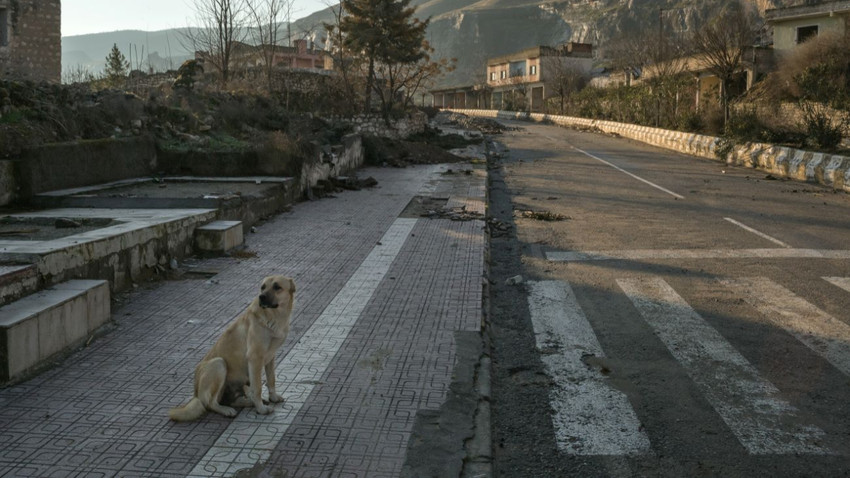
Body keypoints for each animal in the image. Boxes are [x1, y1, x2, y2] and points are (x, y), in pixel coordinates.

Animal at [167, 274, 296, 420]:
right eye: (262, 287)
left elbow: (271, 379)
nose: (261, 297)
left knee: (230, 400)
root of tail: (196, 394)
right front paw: (261, 409)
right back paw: (226, 410)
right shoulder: (255, 359)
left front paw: (272, 397)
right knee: (211, 403)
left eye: (277, 287)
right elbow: (257, 387)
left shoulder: (270, 357)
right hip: (218, 364)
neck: (274, 317)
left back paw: (247, 402)